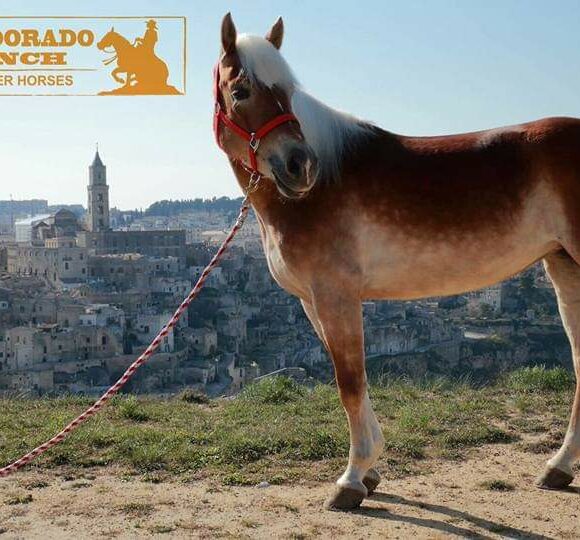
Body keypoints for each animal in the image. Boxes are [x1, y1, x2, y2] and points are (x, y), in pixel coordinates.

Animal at [213, 13, 580, 510]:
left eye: (288, 91)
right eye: (241, 91)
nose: (299, 165)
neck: (322, 187)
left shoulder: (336, 294)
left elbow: (349, 381)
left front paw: (350, 481)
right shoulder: (314, 301)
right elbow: (352, 378)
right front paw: (371, 473)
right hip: (564, 268)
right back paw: (558, 467)